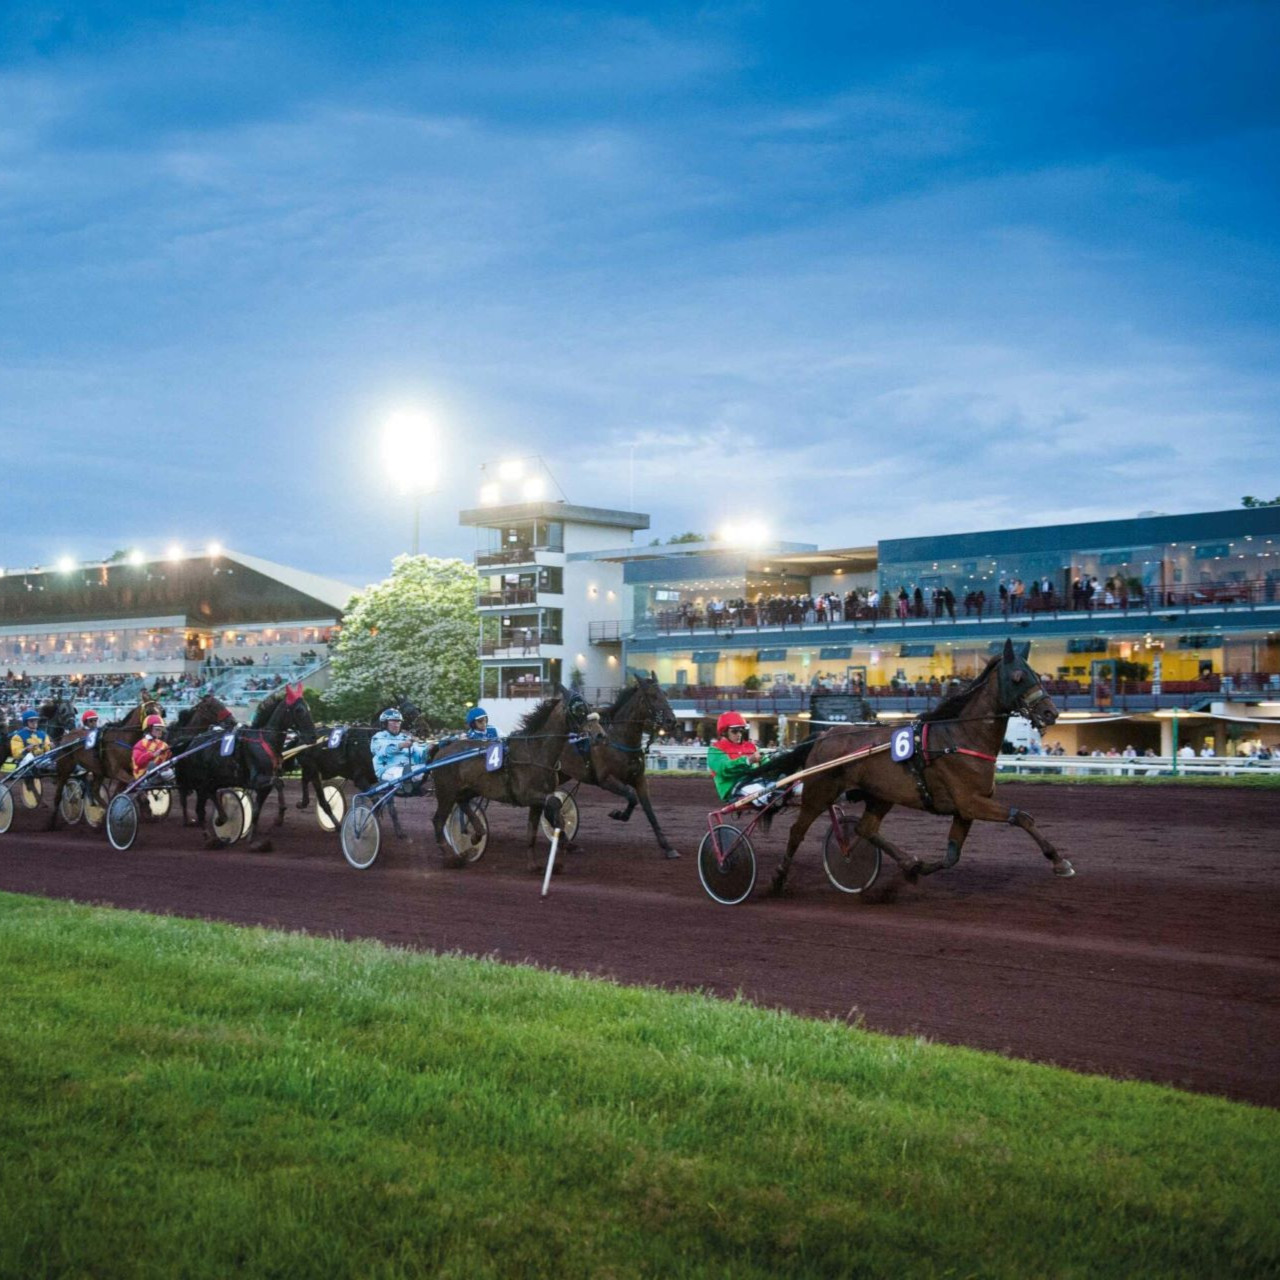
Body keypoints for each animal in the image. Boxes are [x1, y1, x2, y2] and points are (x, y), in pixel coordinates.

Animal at [424, 686, 604, 875]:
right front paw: (564, 841)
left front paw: (535, 864)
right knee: (438, 821)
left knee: (463, 803)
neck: (536, 752)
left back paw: (476, 834)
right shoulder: (526, 795)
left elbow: (533, 831)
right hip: (446, 792)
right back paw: (452, 858)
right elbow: (554, 804)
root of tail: (440, 749)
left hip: (467, 789)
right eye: (578, 709)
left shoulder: (538, 800)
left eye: (589, 707)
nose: (600, 735)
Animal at [558, 680, 680, 860]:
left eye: (665, 694)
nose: (671, 721)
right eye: (653, 696)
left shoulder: (639, 779)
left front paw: (668, 847)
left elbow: (649, 810)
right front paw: (618, 814)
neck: (618, 738)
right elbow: (631, 796)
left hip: (561, 774)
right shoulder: (606, 780)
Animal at [757, 645, 1070, 896]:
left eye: (1036, 674)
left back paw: (901, 861)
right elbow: (1022, 817)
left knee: (865, 828)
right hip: (819, 792)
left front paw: (915, 869)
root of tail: (823, 735)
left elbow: (952, 855)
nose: (1050, 712)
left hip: (881, 795)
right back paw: (777, 879)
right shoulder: (971, 802)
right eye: (1017, 677)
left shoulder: (964, 810)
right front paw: (1059, 861)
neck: (961, 738)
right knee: (797, 831)